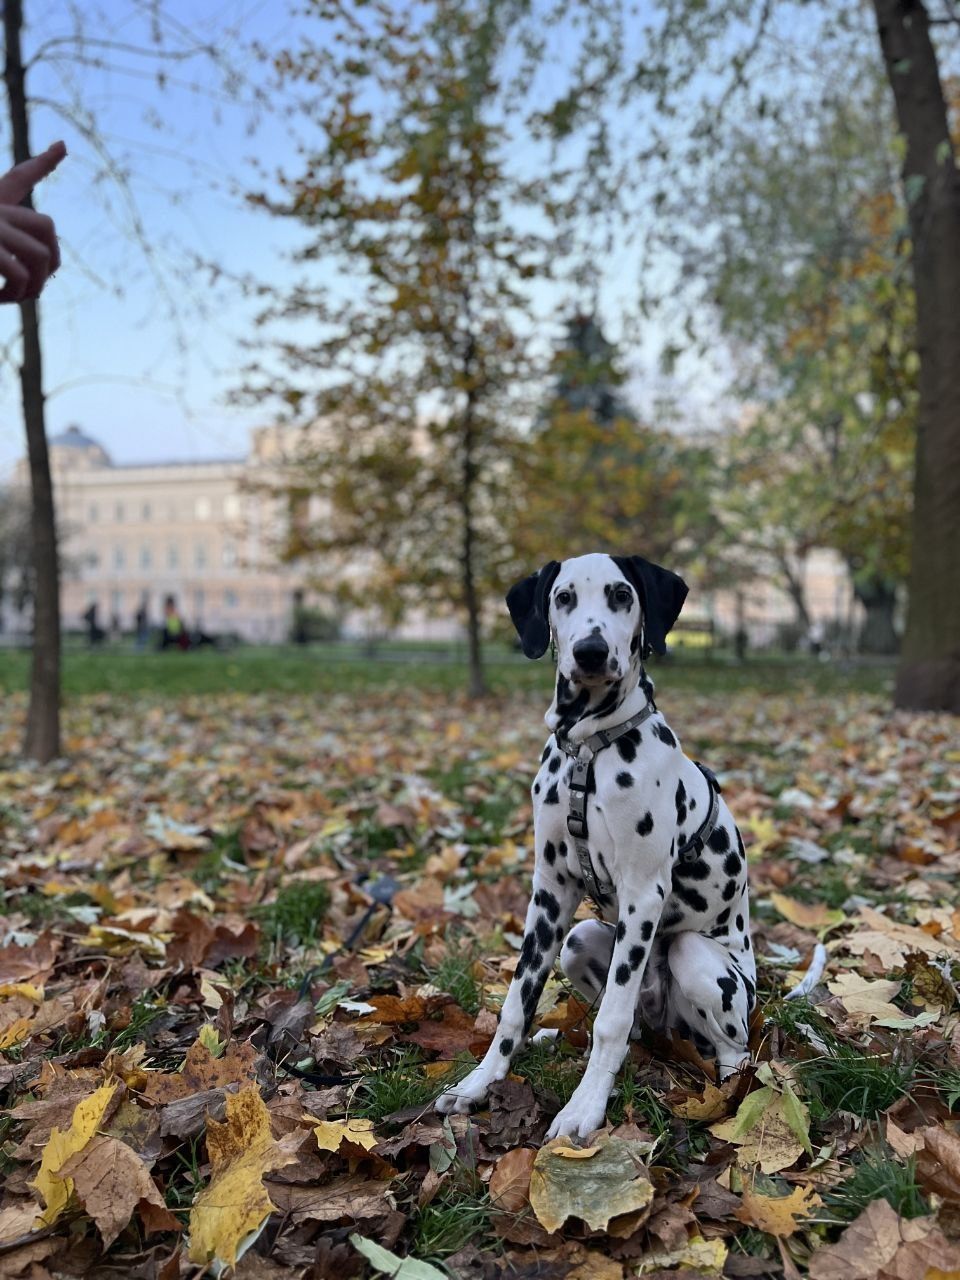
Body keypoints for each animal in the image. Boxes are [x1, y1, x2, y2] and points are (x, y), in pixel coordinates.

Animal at [437, 550, 757, 1141]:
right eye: (563, 597)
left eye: (621, 594)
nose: (589, 650)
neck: (588, 748)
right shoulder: (550, 892)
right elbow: (517, 1002)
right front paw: (480, 1082)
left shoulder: (644, 892)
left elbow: (611, 1019)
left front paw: (584, 1108)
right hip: (580, 939)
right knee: (631, 1029)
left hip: (699, 960)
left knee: (729, 1045)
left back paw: (731, 1092)